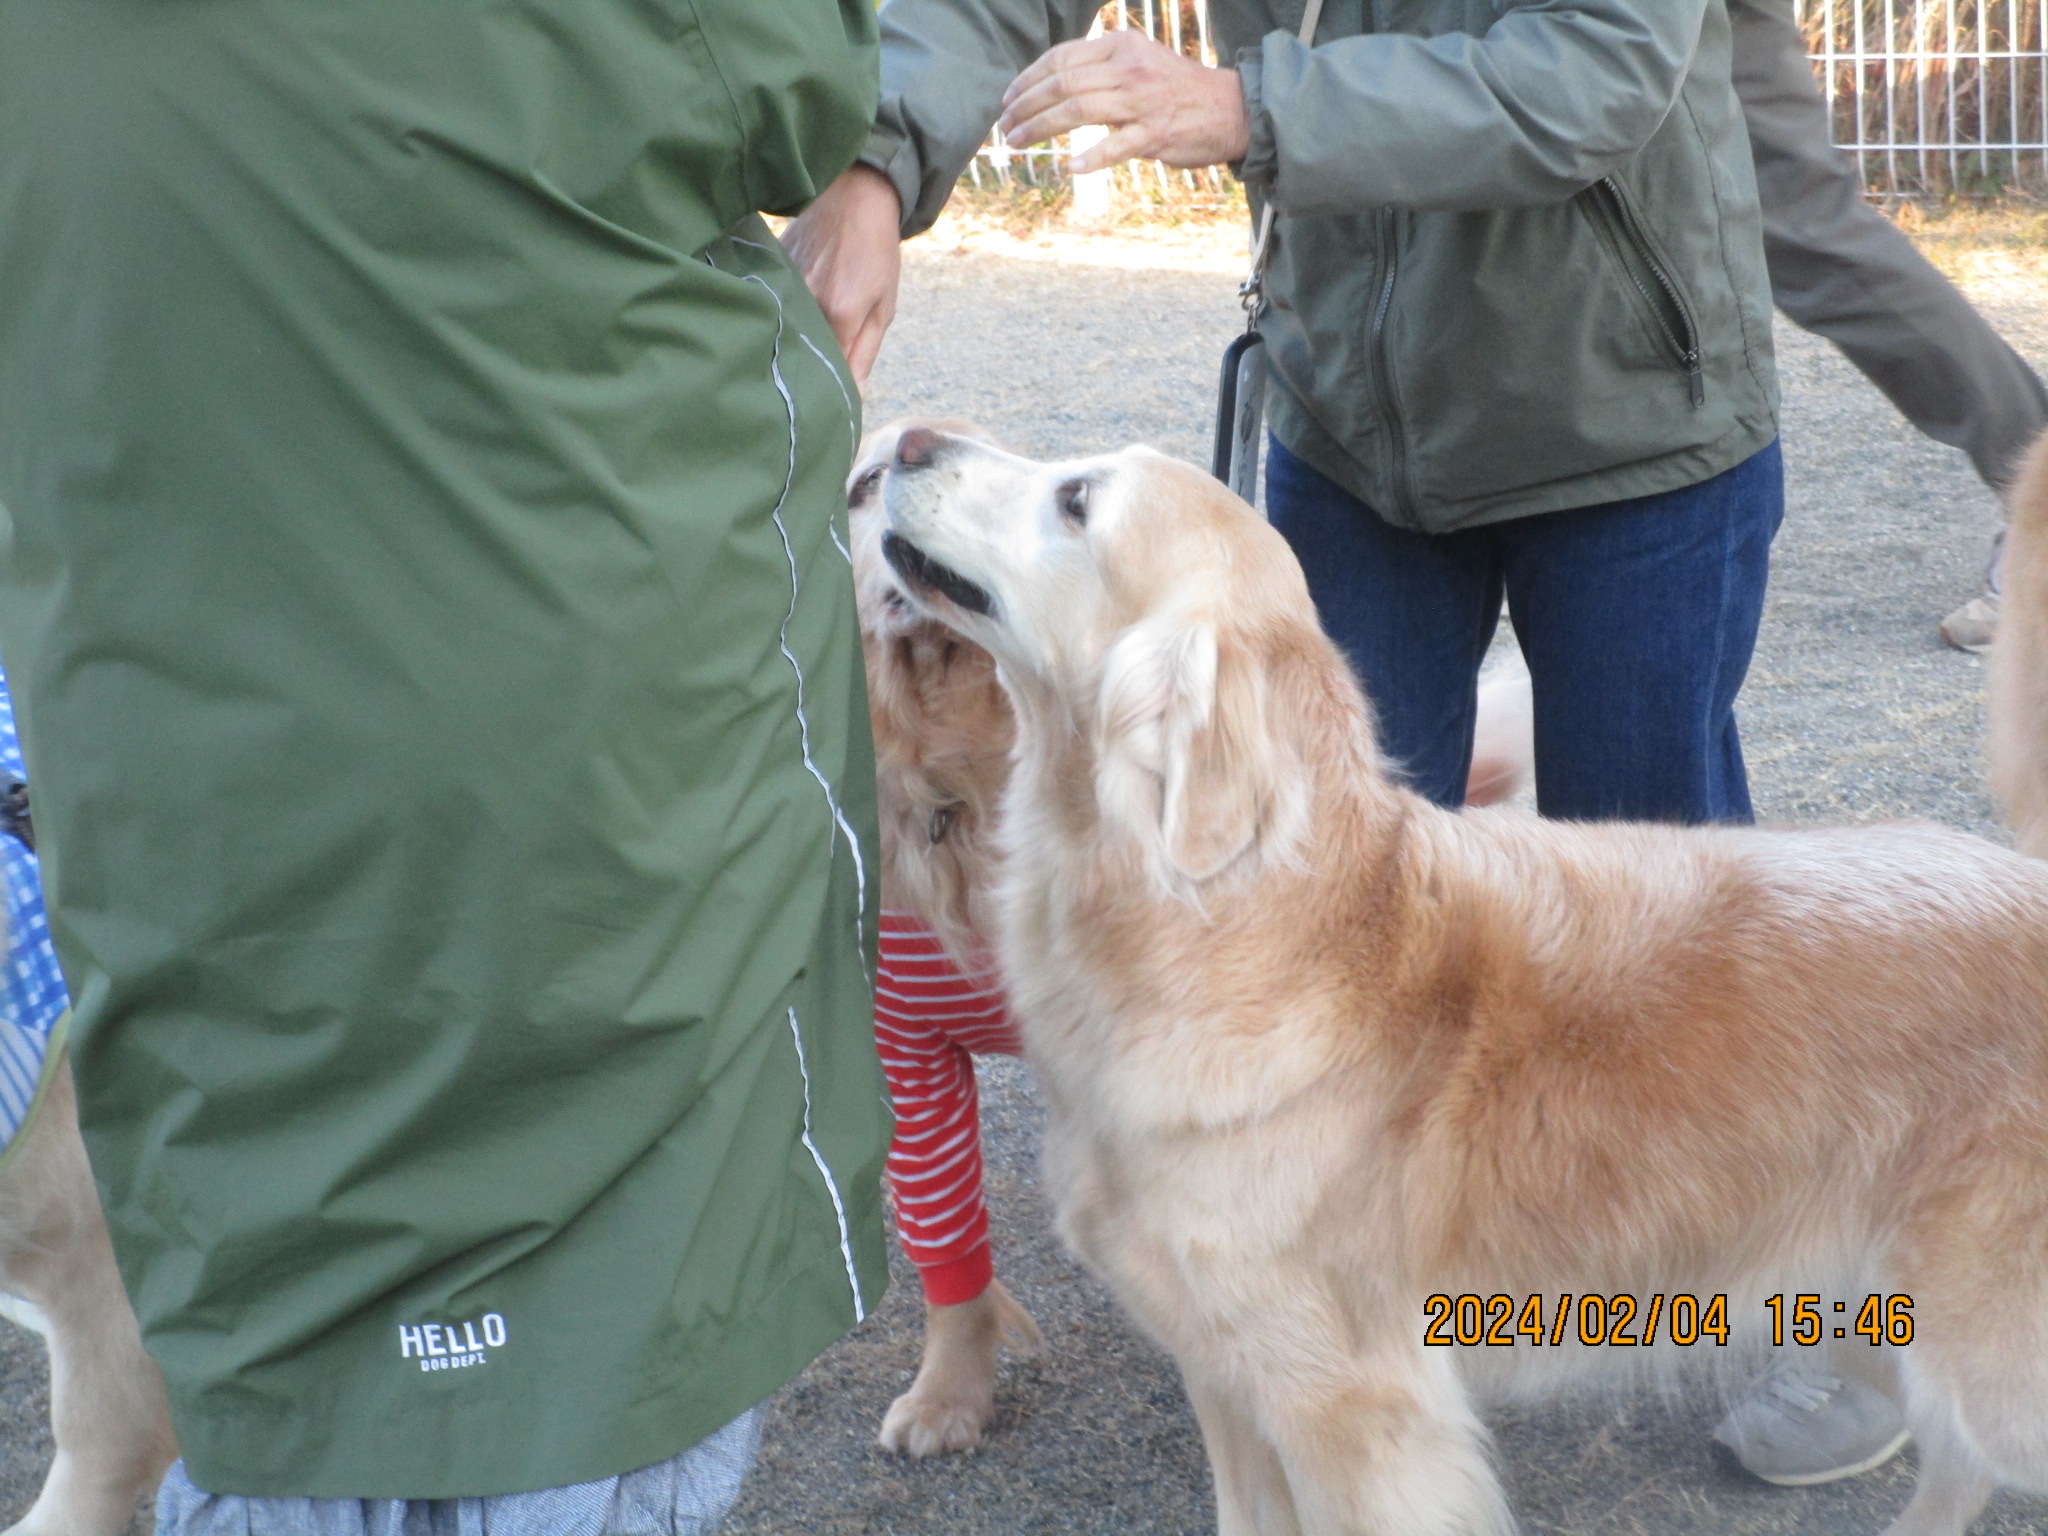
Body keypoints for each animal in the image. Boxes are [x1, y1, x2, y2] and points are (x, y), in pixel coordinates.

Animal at [884, 423, 2048, 1536]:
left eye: (1075, 500)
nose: (904, 443)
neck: (1236, 922)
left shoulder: (1349, 1406)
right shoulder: (1224, 1373)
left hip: (1986, 1354)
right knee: (1955, 1468)